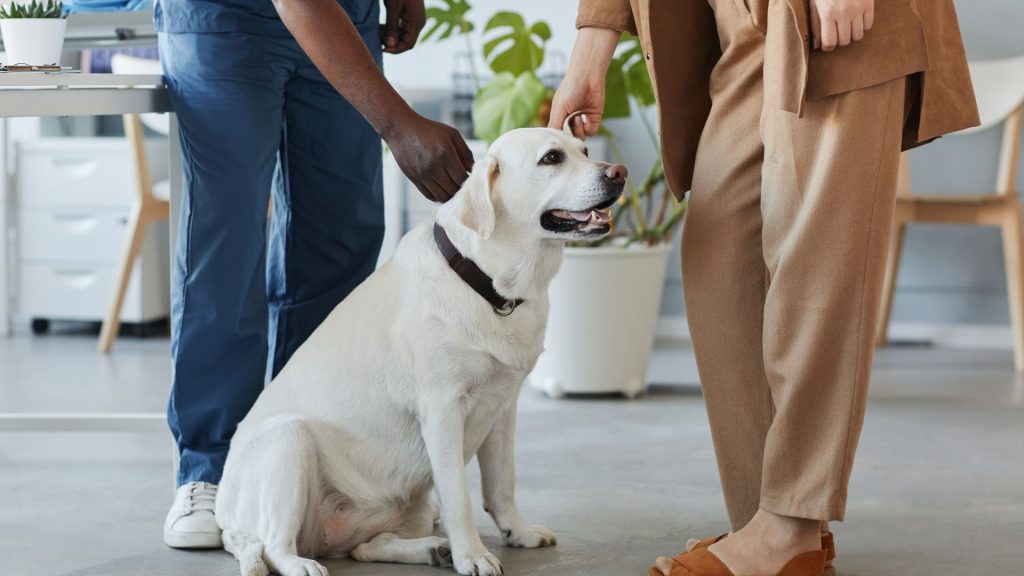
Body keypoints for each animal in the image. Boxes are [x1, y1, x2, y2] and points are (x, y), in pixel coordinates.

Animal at [218, 126, 622, 573]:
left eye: (584, 149)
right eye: (551, 158)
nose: (619, 173)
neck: (488, 284)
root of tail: (225, 520)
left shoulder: (503, 406)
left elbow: (502, 483)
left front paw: (517, 532)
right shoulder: (442, 409)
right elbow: (460, 499)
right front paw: (472, 556)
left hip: (410, 507)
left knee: (364, 548)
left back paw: (431, 549)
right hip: (290, 438)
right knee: (274, 545)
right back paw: (304, 563)